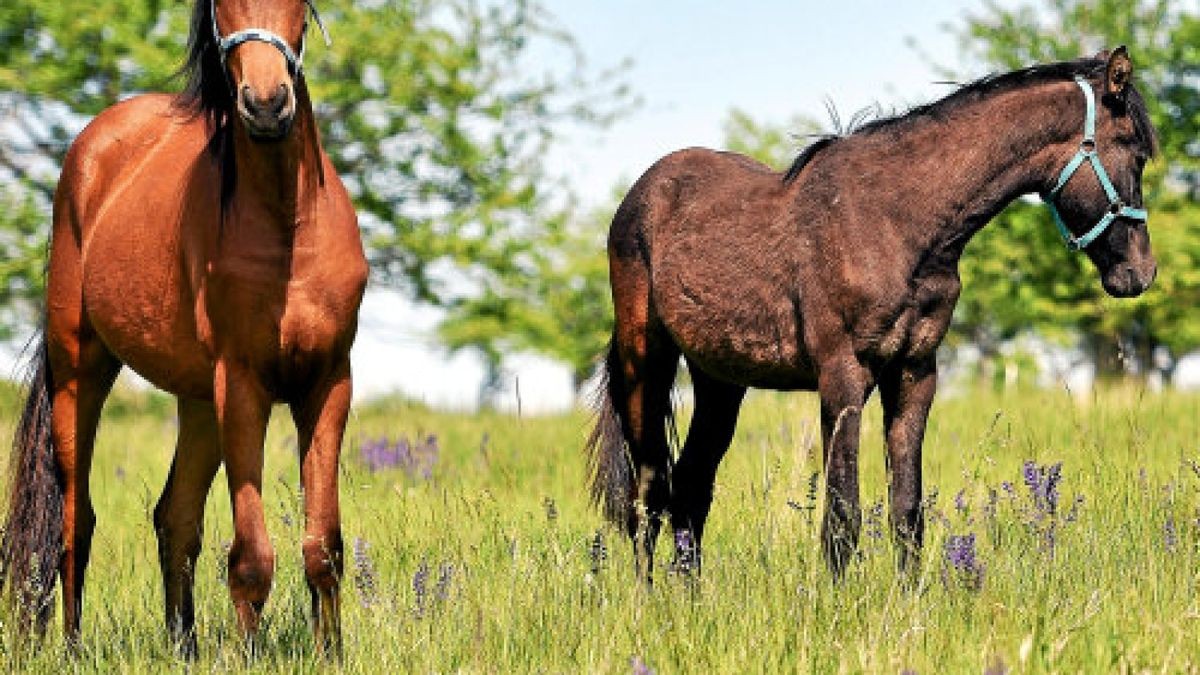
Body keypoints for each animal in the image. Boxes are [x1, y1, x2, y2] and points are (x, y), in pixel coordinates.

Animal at [1, 0, 364, 653]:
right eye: (222, 6)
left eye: (300, 6)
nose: (266, 104)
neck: (289, 227)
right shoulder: (242, 388)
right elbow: (251, 557)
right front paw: (250, 657)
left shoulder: (329, 384)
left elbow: (323, 546)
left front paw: (332, 655)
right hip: (82, 370)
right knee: (75, 521)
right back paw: (73, 647)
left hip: (198, 402)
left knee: (174, 517)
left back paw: (183, 646)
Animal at [585, 48, 1156, 583]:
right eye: (1135, 153)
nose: (1139, 272)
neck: (895, 221)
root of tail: (639, 196)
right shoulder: (842, 377)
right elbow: (842, 516)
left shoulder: (914, 373)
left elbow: (906, 512)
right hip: (645, 365)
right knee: (648, 493)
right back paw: (649, 603)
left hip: (721, 381)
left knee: (690, 491)